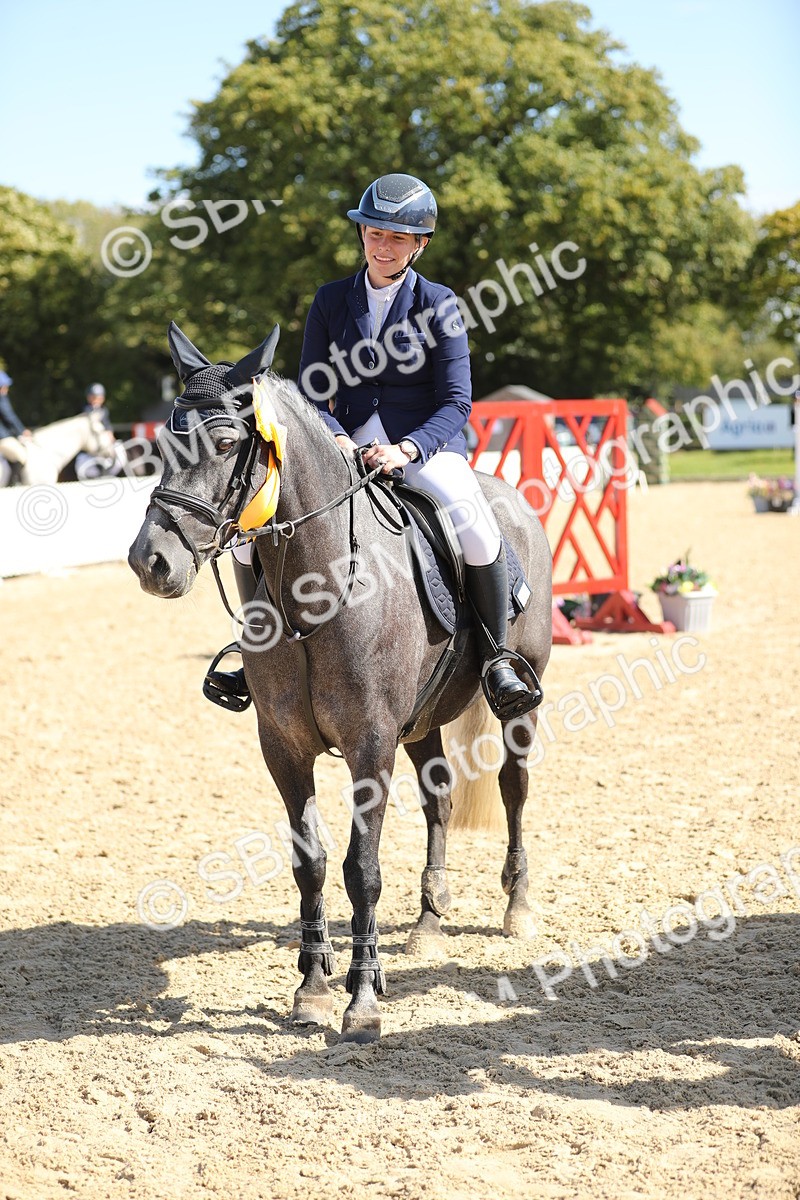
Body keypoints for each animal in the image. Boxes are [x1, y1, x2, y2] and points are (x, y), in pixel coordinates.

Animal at [128, 323, 552, 1043]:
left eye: (225, 444)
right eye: (159, 446)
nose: (149, 562)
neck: (315, 591)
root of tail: (511, 496)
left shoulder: (370, 744)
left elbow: (362, 868)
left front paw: (362, 999)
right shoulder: (284, 746)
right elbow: (312, 861)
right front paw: (313, 987)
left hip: (515, 703)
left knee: (515, 788)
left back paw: (516, 907)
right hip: (421, 722)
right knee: (439, 799)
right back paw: (429, 921)